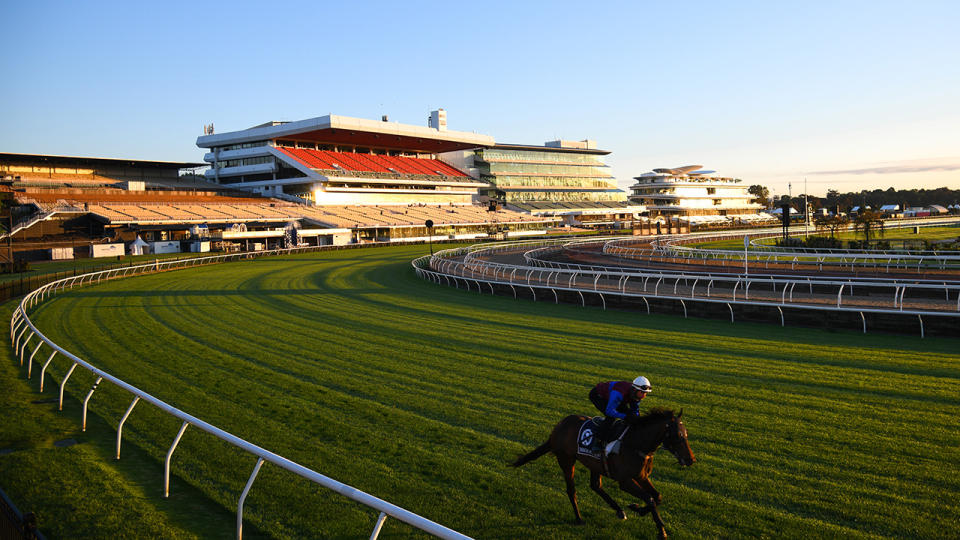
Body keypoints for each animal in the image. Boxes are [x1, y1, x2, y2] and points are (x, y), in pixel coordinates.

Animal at [512, 408, 692, 536]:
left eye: (686, 434)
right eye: (678, 435)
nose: (691, 459)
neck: (635, 443)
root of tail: (558, 427)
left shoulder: (641, 476)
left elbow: (657, 497)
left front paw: (638, 509)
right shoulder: (625, 481)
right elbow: (649, 498)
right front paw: (660, 529)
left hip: (595, 465)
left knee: (595, 486)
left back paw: (619, 511)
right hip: (566, 460)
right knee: (571, 490)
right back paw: (579, 518)